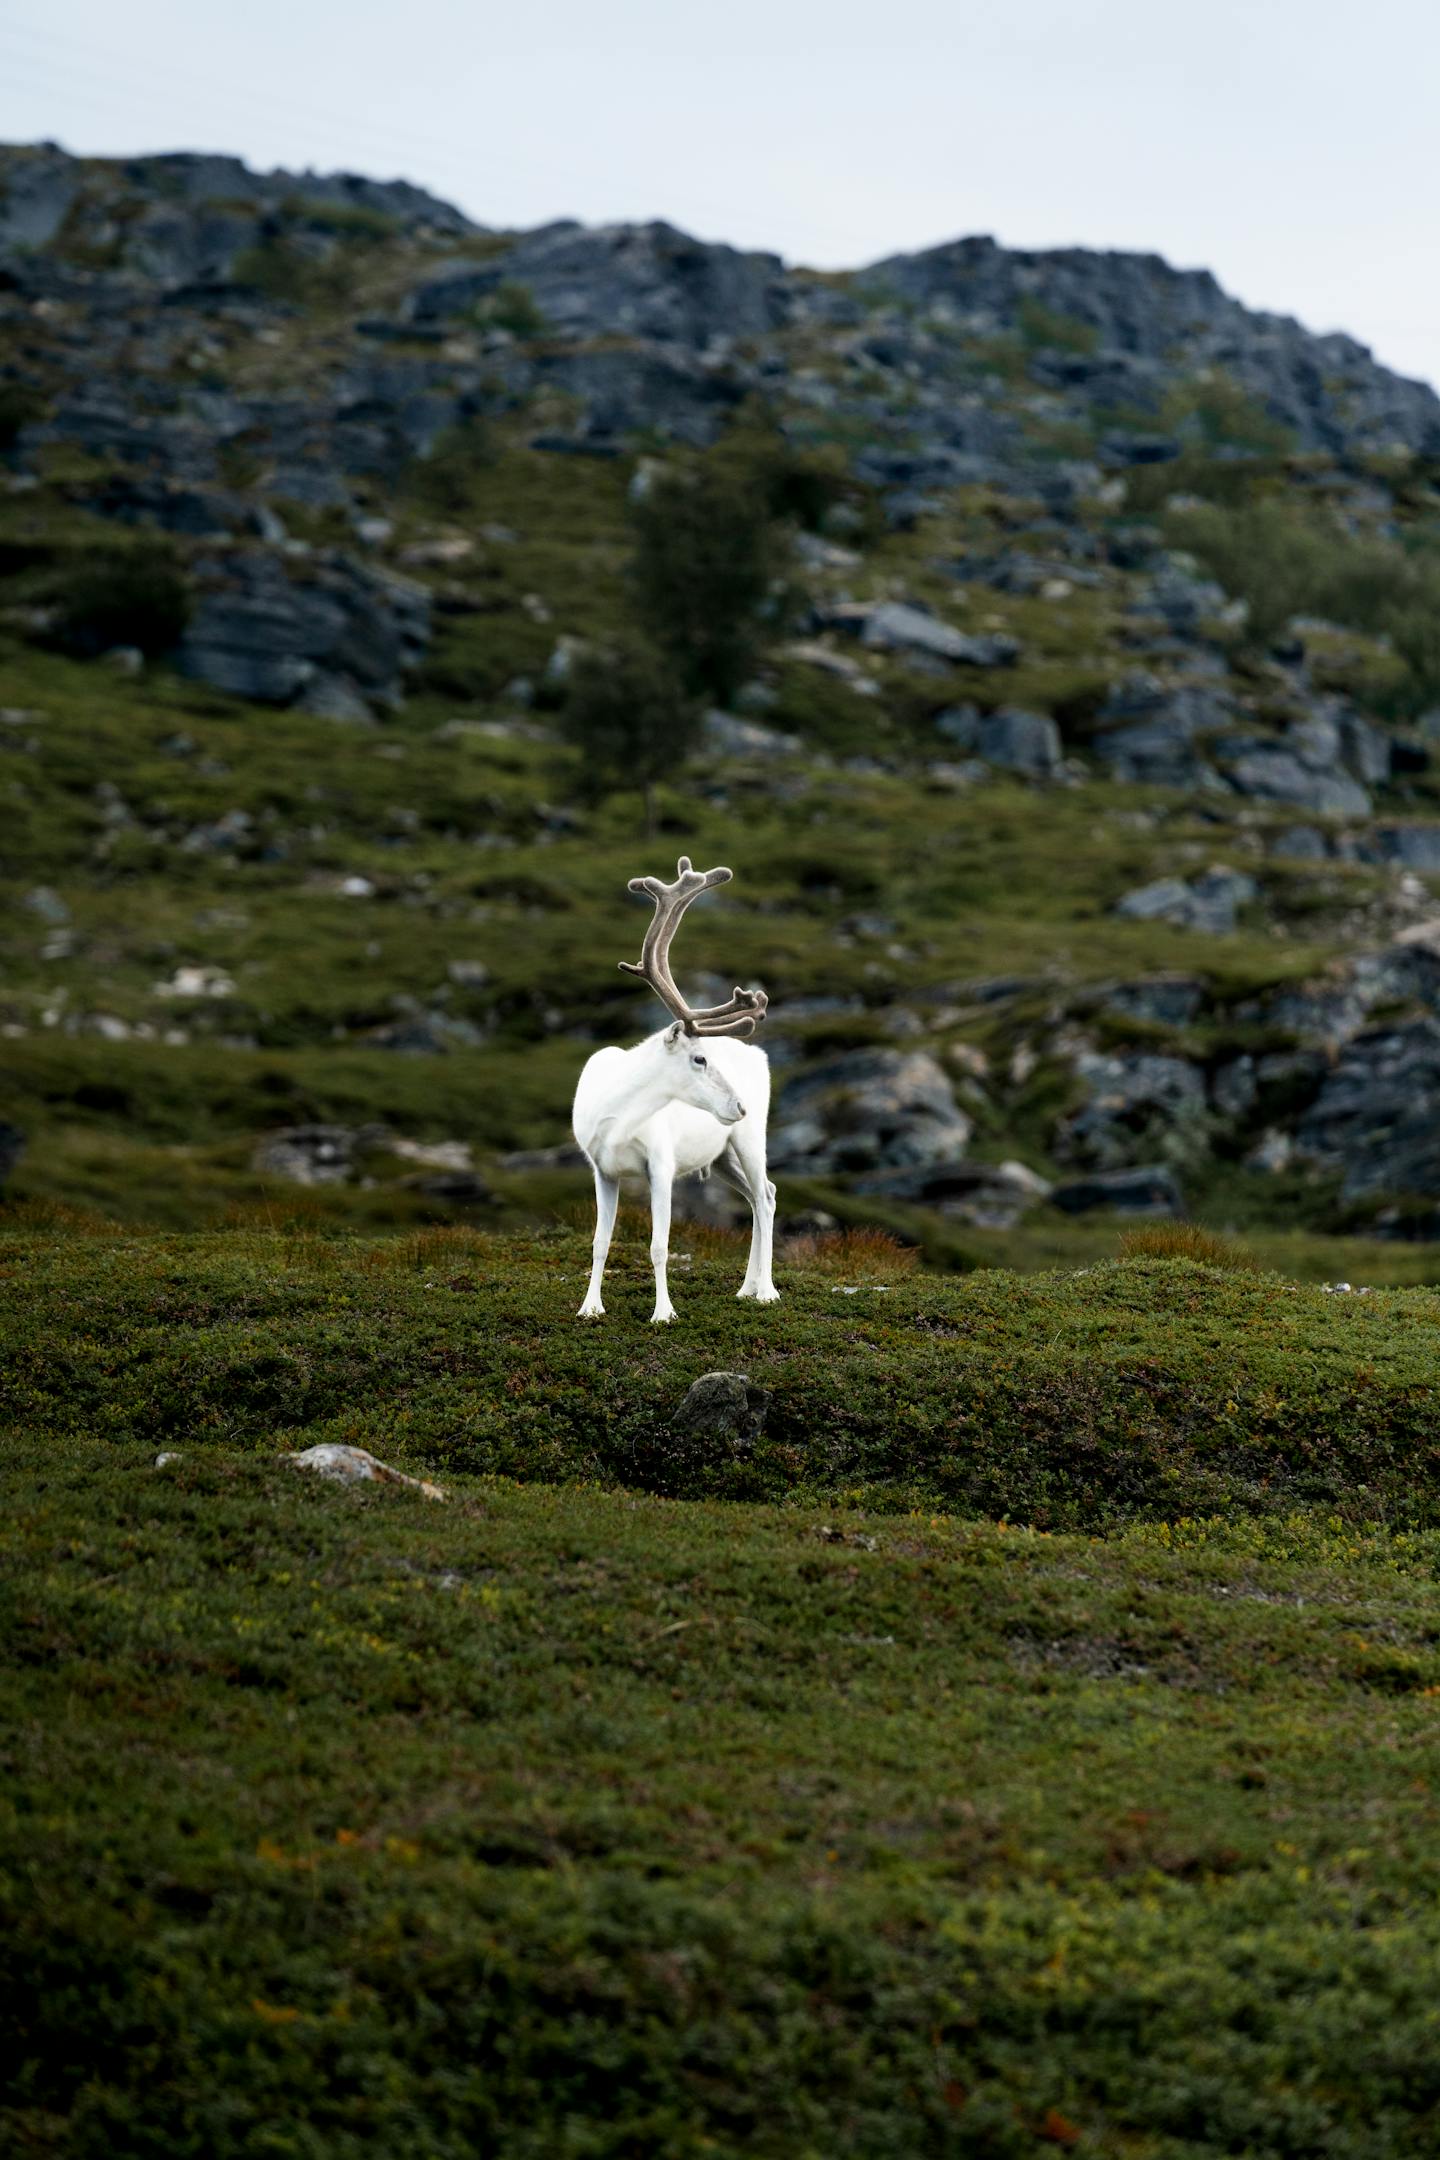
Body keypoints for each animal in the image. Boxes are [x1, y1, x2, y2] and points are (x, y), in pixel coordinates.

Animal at [572, 856, 778, 1323]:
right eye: (699, 1058)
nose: (740, 1104)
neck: (619, 1118)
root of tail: (759, 1054)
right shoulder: (601, 1169)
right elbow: (599, 1243)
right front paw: (590, 1307)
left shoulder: (661, 1166)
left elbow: (659, 1246)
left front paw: (664, 1313)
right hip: (720, 1157)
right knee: (760, 1197)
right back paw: (746, 1287)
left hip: (750, 1139)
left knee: (765, 1195)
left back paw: (767, 1290)